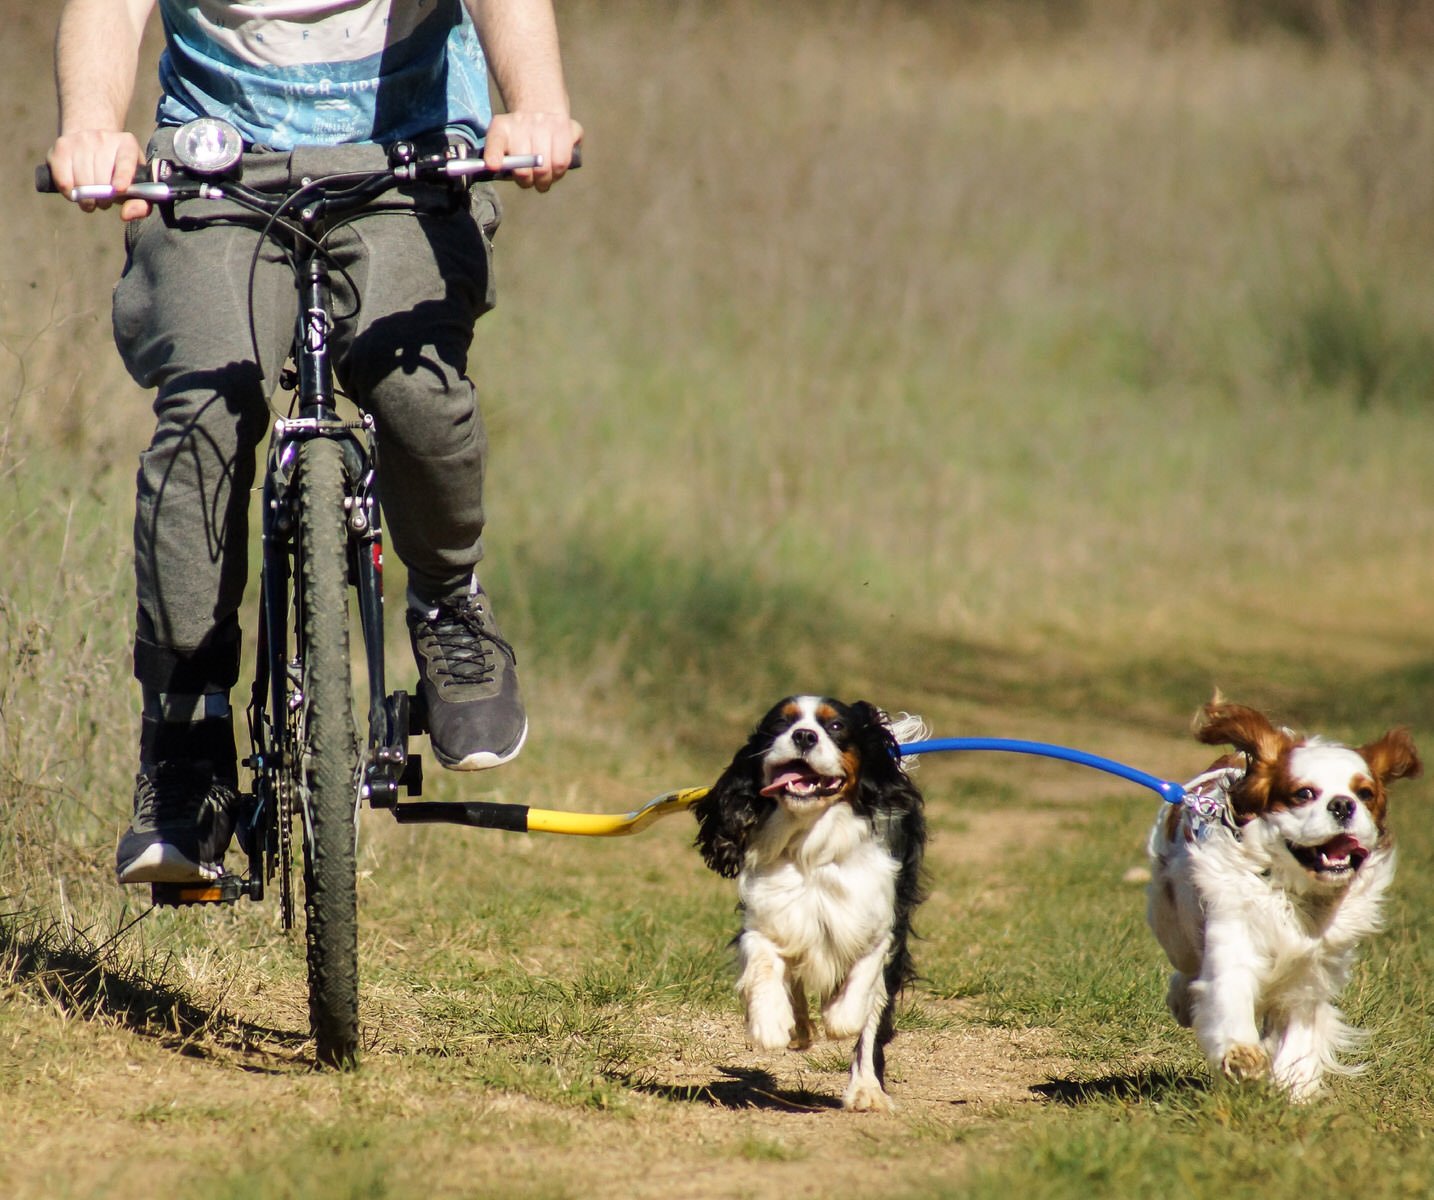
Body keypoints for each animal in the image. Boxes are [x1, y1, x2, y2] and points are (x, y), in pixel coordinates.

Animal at [694, 696, 929, 1106]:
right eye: (779, 725)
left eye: (835, 727)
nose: (803, 735)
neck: (810, 844)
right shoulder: (769, 916)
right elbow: (764, 962)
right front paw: (771, 1022)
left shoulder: (878, 925)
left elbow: (863, 994)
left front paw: (840, 1020)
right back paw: (797, 1029)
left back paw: (865, 1087)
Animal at [1141, 693, 1422, 1095]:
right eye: (1303, 793)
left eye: (1365, 794)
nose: (1343, 804)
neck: (1294, 892)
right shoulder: (1235, 934)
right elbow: (1229, 992)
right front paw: (1241, 1054)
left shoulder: (1312, 971)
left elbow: (1300, 1030)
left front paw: (1295, 1087)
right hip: (1173, 925)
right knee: (1188, 967)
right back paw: (1183, 1001)